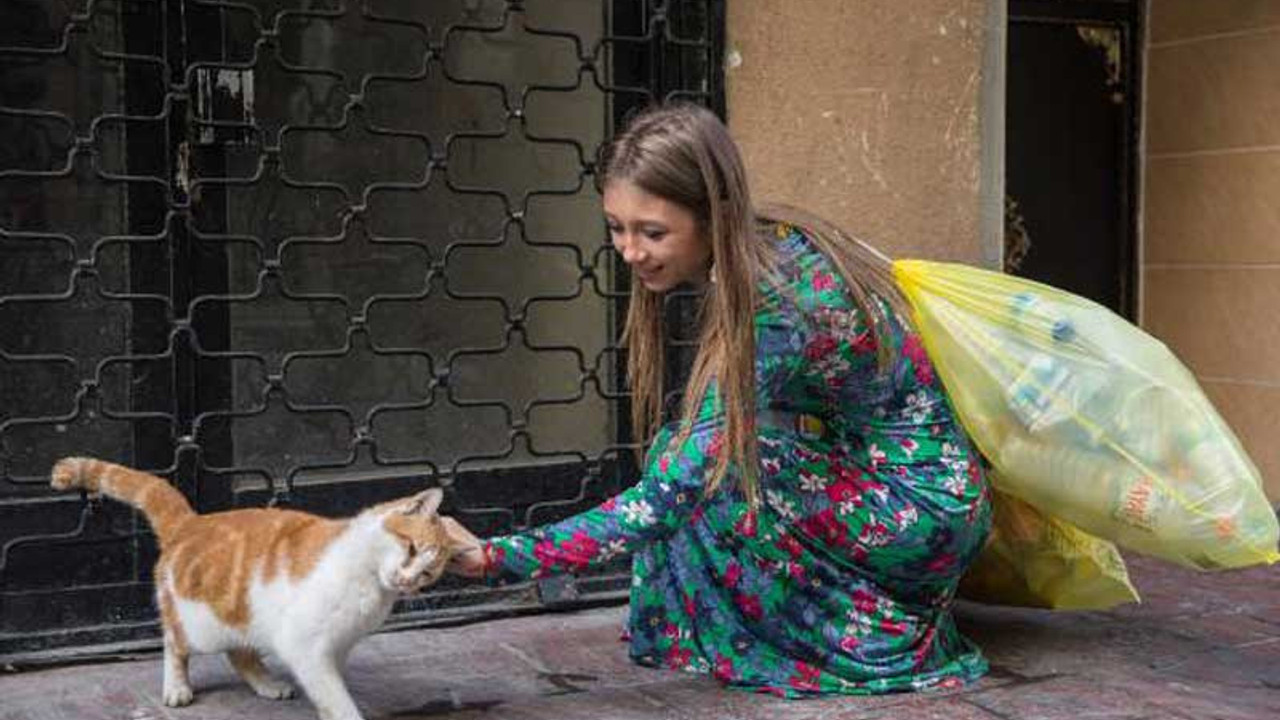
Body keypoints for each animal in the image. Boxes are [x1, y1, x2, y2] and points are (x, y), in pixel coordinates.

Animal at [48, 453, 481, 717]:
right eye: (410, 548)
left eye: (427, 574)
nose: (406, 580)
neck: (369, 585)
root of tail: (191, 522)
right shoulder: (304, 644)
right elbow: (336, 696)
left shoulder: (333, 646)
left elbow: (328, 688)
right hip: (201, 625)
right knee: (175, 643)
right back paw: (177, 686)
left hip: (245, 618)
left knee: (240, 653)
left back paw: (266, 683)